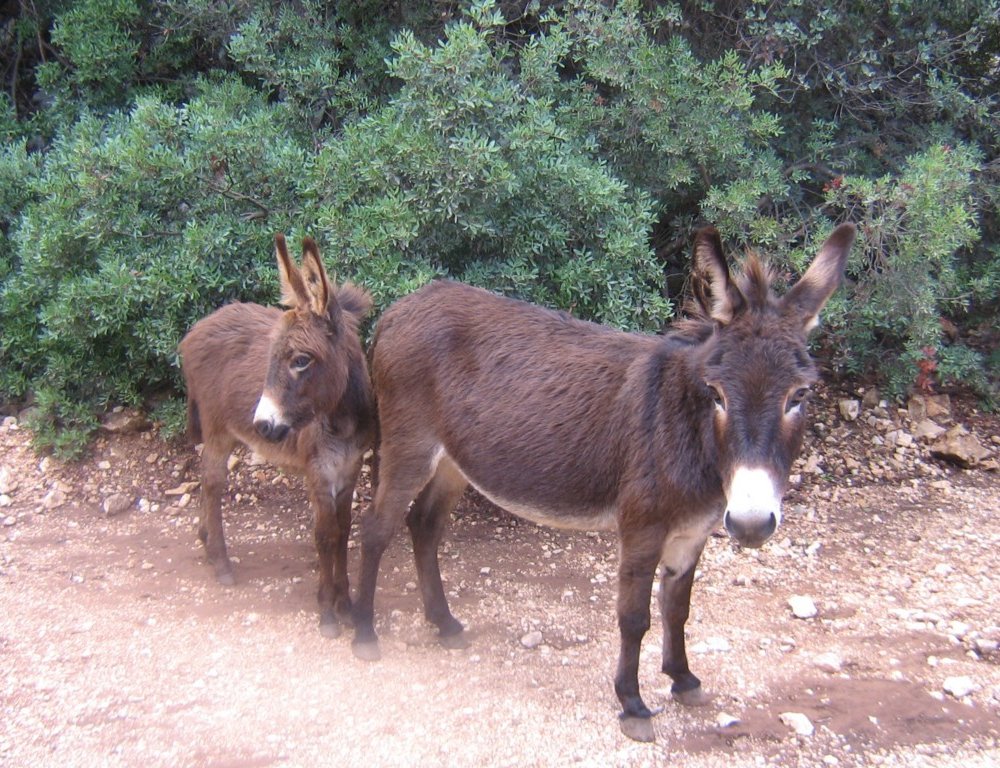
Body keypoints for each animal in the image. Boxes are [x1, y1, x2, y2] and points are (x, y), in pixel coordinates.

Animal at [178, 234, 375, 637]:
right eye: (272, 358)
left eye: (301, 360)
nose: (263, 426)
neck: (340, 422)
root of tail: (197, 328)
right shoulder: (318, 473)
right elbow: (325, 535)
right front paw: (327, 611)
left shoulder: (348, 469)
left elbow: (344, 531)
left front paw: (345, 605)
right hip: (218, 430)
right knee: (212, 481)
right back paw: (220, 561)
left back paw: (206, 542)